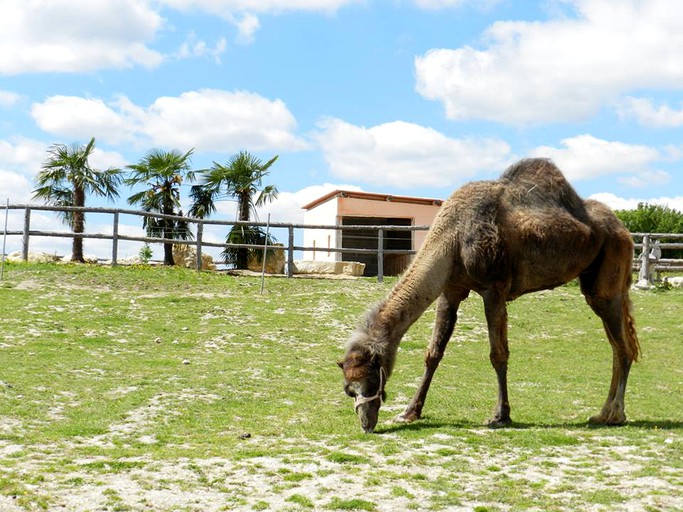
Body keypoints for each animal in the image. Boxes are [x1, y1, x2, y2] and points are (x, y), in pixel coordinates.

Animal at [340, 158, 640, 434]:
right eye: (348, 389)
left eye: (371, 379)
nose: (366, 424)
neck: (452, 239)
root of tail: (625, 231)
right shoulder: (451, 290)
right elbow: (433, 352)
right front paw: (409, 413)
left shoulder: (493, 288)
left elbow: (498, 353)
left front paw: (500, 416)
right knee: (617, 345)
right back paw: (603, 413)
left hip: (607, 282)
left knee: (622, 346)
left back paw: (614, 414)